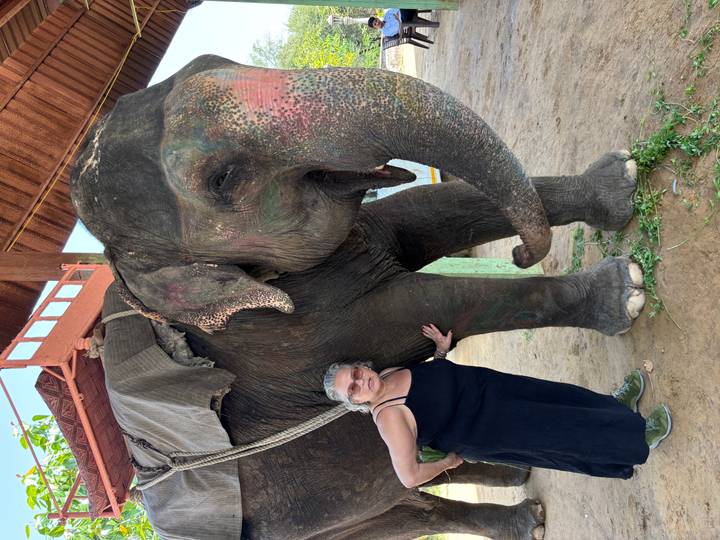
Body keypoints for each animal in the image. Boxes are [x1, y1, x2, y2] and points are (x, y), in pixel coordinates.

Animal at [70, 55, 645, 539]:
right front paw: (625, 292)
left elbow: (427, 212)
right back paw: (528, 519)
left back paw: (518, 477)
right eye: (223, 178)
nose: (525, 252)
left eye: (216, 61)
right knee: (412, 512)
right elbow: (413, 310)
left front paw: (620, 182)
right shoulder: (279, 339)